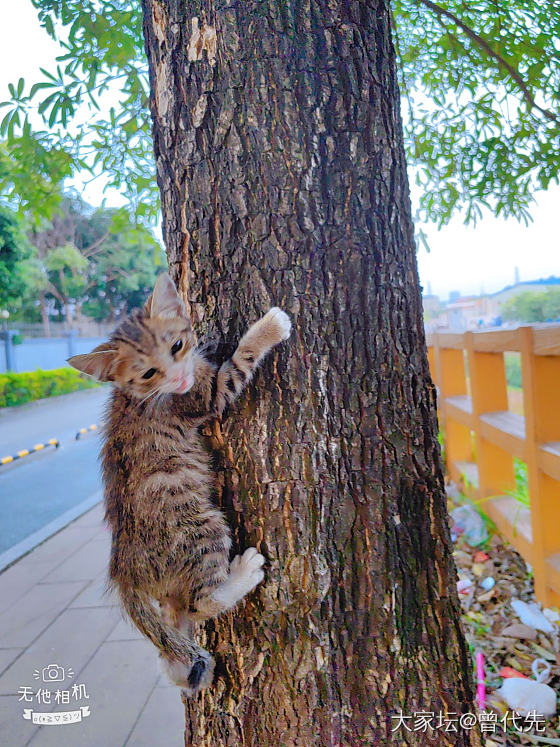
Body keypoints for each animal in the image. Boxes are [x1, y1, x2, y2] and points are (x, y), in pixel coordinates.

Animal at [68, 274, 290, 696]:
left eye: (176, 346)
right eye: (147, 373)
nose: (178, 378)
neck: (135, 395)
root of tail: (123, 571)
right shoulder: (207, 395)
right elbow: (238, 363)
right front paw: (269, 327)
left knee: (176, 627)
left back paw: (178, 668)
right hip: (201, 528)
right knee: (200, 603)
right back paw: (243, 575)